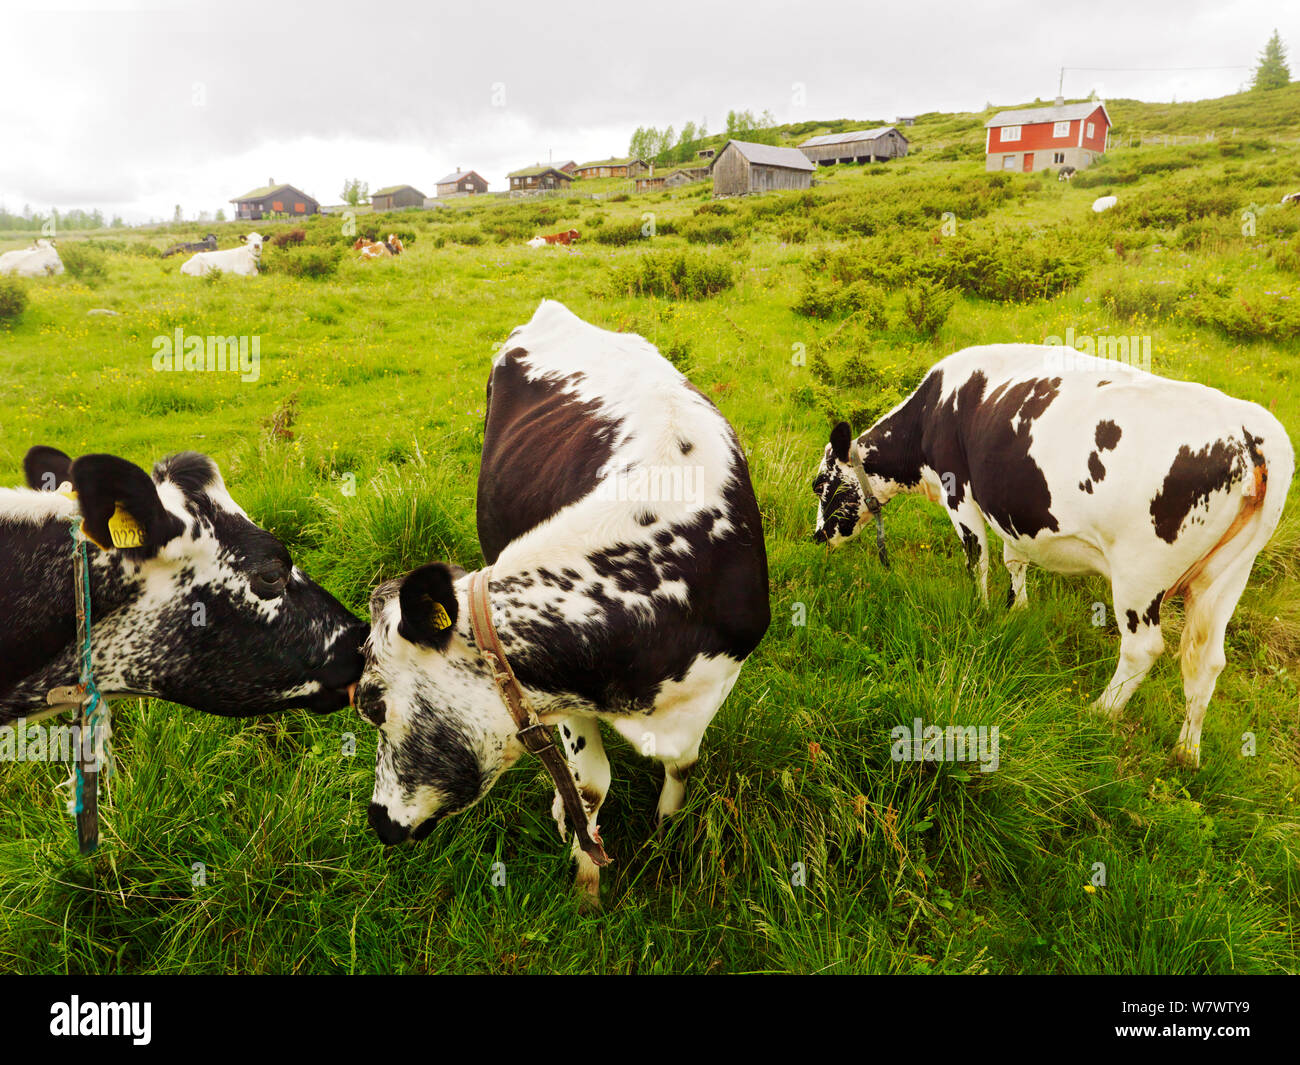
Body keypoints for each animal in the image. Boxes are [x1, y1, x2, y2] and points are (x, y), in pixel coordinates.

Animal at [356, 300, 764, 910]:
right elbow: (588, 786)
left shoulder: (719, 678)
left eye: (373, 704)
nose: (378, 821)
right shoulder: (551, 694)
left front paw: (665, 829)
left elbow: (682, 763)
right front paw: (586, 885)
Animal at [811, 345, 1289, 769]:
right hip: (1225, 579)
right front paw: (1016, 609)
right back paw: (1186, 752)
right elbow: (1013, 559)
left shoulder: (958, 490)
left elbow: (977, 555)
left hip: (1140, 575)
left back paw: (1099, 712)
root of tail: (1248, 430)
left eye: (820, 483)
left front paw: (979, 610)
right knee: (1206, 661)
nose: (816, 537)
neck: (933, 410)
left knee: (1143, 648)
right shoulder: (1010, 507)